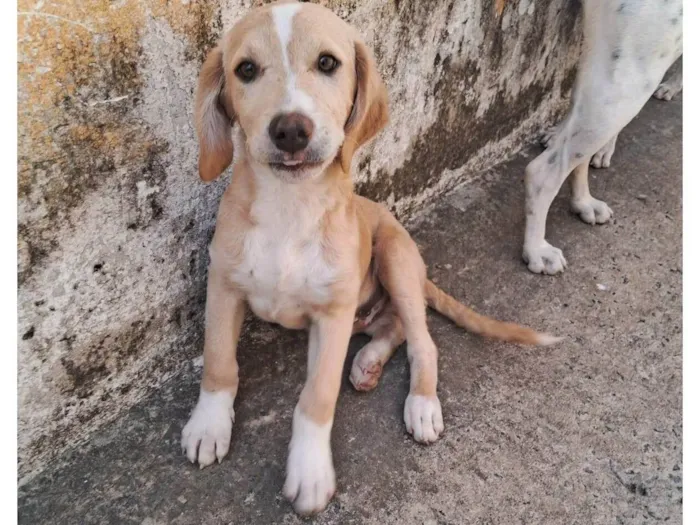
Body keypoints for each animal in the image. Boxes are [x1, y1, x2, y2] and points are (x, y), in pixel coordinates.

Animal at [183, 1, 560, 516]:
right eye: (245, 70)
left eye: (327, 63)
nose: (290, 130)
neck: (290, 204)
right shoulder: (223, 286)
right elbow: (220, 362)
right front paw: (209, 426)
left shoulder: (333, 314)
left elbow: (317, 396)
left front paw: (310, 472)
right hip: (370, 304)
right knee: (393, 326)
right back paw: (368, 362)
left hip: (395, 259)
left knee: (422, 339)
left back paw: (421, 404)